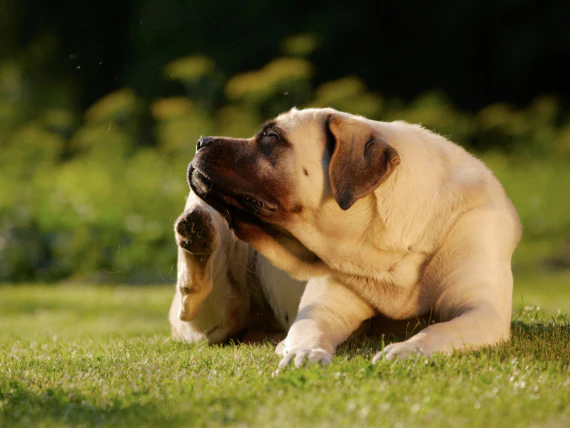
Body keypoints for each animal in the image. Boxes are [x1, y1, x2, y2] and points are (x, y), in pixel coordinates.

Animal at [186, 107, 520, 368]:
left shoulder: (482, 310)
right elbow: (310, 330)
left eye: (271, 137)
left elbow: (438, 330)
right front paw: (304, 352)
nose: (200, 141)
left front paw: (407, 350)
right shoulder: (322, 308)